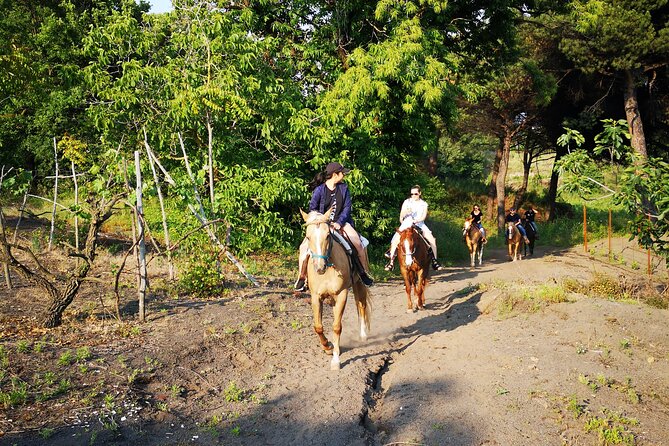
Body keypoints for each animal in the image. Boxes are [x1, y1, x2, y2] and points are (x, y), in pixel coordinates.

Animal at [302, 209, 370, 370]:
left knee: (361, 305)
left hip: (359, 283)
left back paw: (363, 335)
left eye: (328, 235)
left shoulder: (341, 295)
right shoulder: (315, 297)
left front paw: (335, 360)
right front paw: (327, 346)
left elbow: (337, 327)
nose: (319, 267)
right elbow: (318, 326)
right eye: (308, 237)